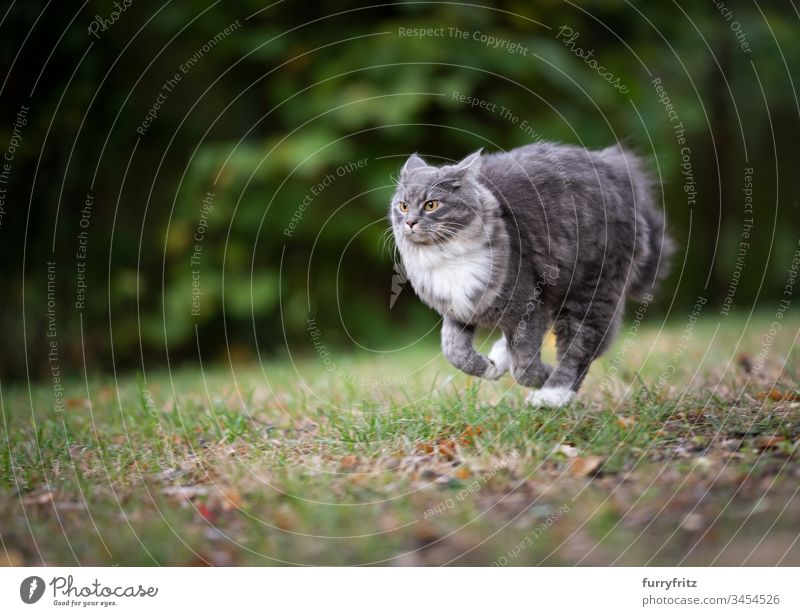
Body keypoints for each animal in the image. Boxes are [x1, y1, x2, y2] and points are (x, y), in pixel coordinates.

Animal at [390, 142, 672, 406]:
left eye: (431, 205)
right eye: (403, 206)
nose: (410, 222)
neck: (445, 256)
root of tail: (616, 167)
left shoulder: (525, 303)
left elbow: (524, 367)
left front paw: (542, 376)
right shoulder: (459, 310)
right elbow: (454, 352)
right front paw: (489, 368)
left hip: (591, 290)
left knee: (578, 350)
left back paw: (552, 395)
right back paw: (502, 359)